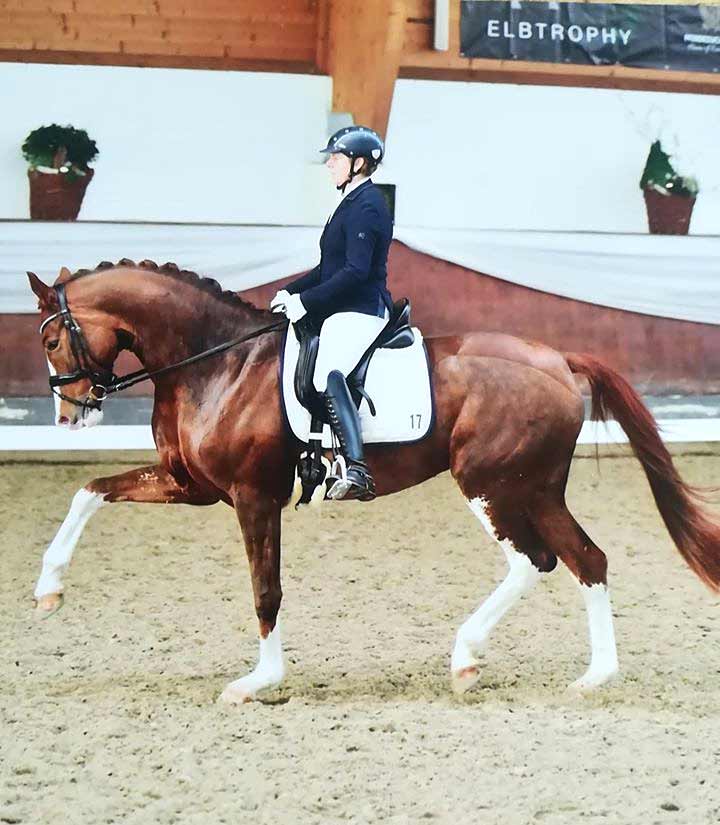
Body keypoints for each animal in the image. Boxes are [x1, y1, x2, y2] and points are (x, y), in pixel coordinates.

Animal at [28, 262, 720, 700]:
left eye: (55, 338)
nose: (68, 414)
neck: (219, 362)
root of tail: (559, 359)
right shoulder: (190, 484)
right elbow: (88, 491)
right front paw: (48, 589)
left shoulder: (253, 496)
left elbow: (265, 590)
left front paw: (259, 682)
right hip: (535, 486)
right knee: (584, 558)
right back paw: (595, 677)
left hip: (492, 481)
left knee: (534, 560)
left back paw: (467, 657)